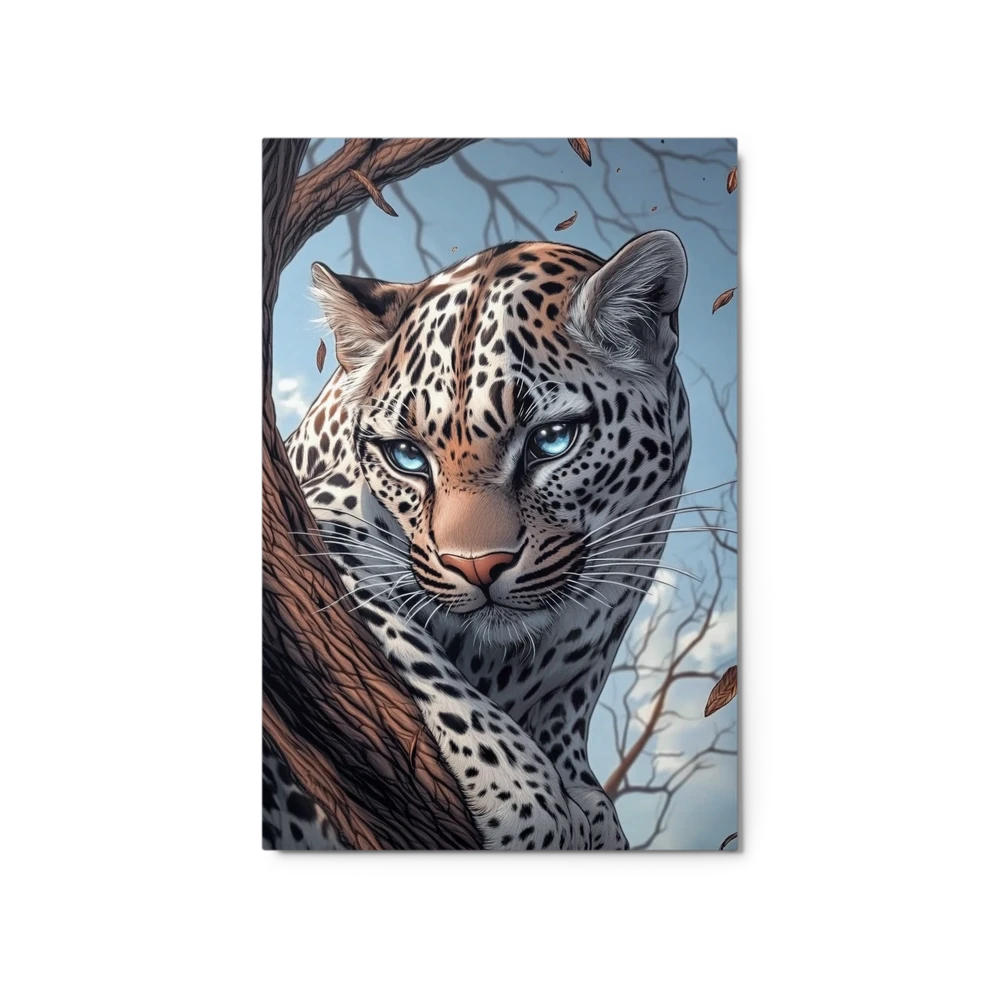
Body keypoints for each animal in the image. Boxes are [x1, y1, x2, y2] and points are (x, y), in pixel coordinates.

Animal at [259, 229, 698, 851]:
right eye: (407, 455)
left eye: (551, 440)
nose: (477, 568)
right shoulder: (313, 523)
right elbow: (423, 659)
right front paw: (530, 802)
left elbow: (569, 700)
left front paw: (585, 797)